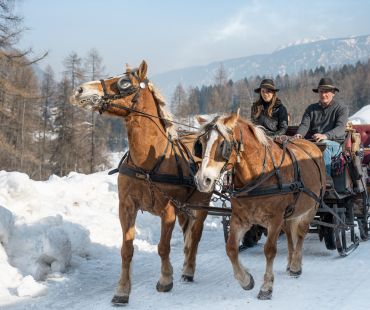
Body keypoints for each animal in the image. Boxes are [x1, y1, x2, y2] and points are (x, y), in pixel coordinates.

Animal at [69, 60, 211, 306]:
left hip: (201, 205)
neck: (148, 162)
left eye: (124, 82)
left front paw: (165, 279)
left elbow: (163, 247)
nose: (80, 90)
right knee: (188, 234)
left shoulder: (168, 210)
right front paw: (122, 290)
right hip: (185, 207)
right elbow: (126, 250)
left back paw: (188, 270)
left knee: (196, 235)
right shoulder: (126, 206)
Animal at [194, 111, 324, 300]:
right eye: (201, 143)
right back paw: (290, 262)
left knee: (300, 234)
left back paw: (295, 266)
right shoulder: (240, 218)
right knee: (290, 235)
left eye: (222, 145)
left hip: (311, 207)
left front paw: (266, 287)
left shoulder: (275, 219)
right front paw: (246, 280)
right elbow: (231, 248)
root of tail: (310, 145)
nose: (202, 180)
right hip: (290, 213)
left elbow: (269, 250)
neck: (258, 176)